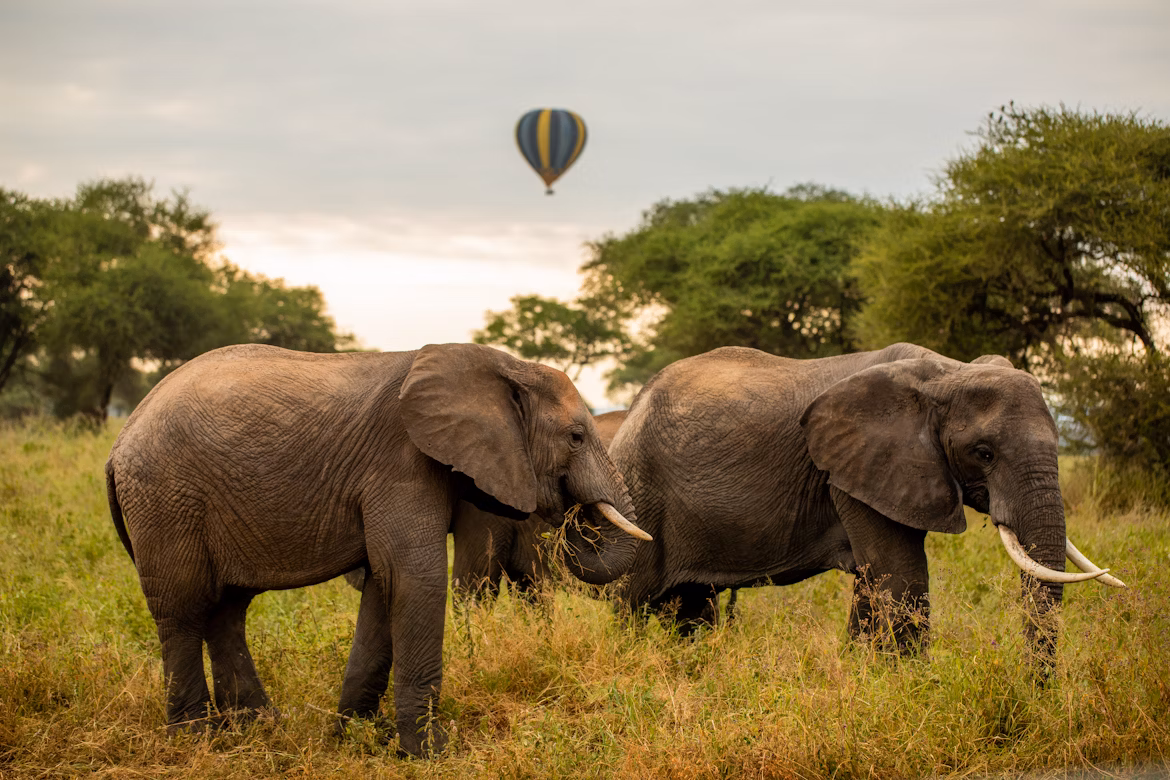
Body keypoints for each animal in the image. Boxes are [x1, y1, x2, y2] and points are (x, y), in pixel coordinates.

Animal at [608, 342, 1123, 650]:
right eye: (984, 453)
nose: (1038, 691)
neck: (945, 372)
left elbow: (874, 582)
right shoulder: (853, 468)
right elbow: (903, 579)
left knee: (692, 606)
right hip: (639, 496)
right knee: (630, 604)